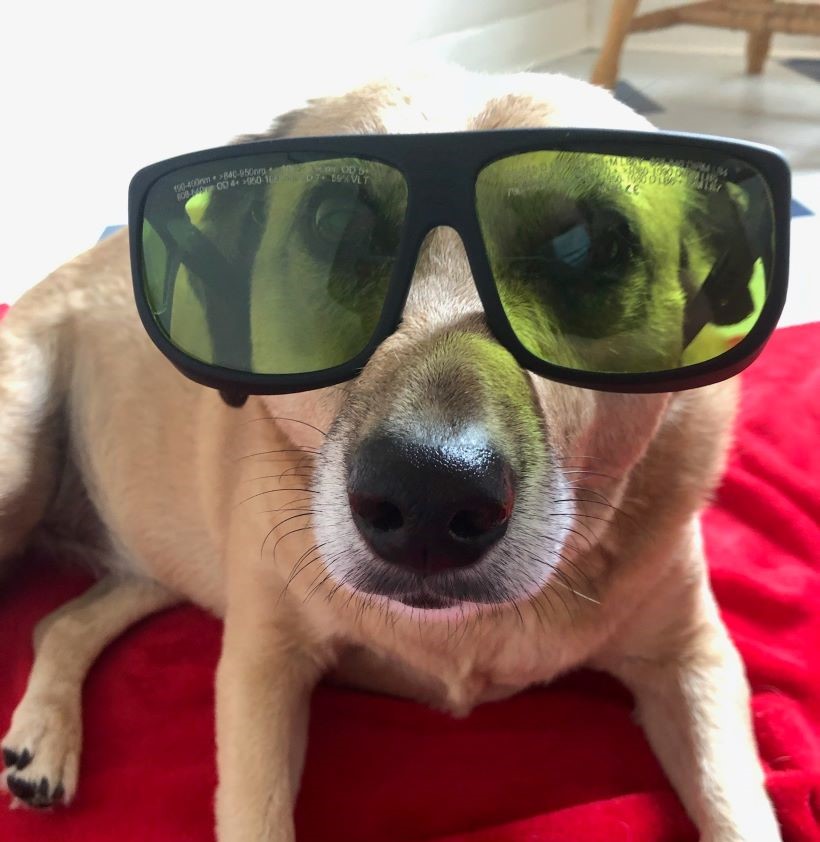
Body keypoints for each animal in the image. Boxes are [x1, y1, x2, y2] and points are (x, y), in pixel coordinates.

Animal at [0, 67, 780, 840]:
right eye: (336, 225)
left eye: (583, 244)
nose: (430, 496)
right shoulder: (261, 664)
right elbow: (257, 810)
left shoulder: (694, 657)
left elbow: (738, 808)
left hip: (158, 558)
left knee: (59, 620)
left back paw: (43, 739)